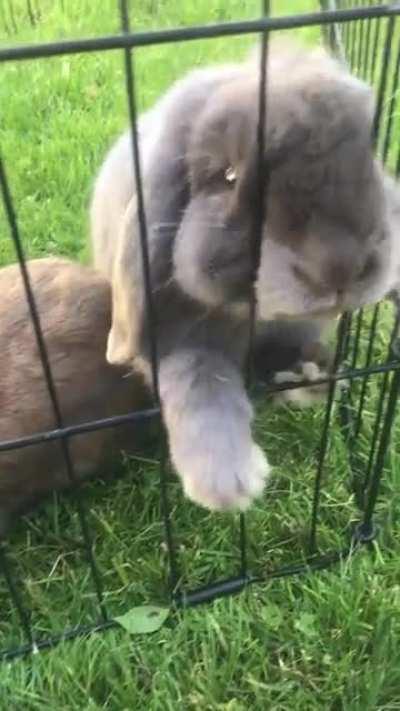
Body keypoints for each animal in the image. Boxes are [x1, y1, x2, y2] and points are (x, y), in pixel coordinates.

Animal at [90, 40, 394, 513]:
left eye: (369, 155)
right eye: (228, 177)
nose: (339, 267)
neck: (256, 316)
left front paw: (313, 374)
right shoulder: (173, 337)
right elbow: (199, 377)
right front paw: (228, 481)